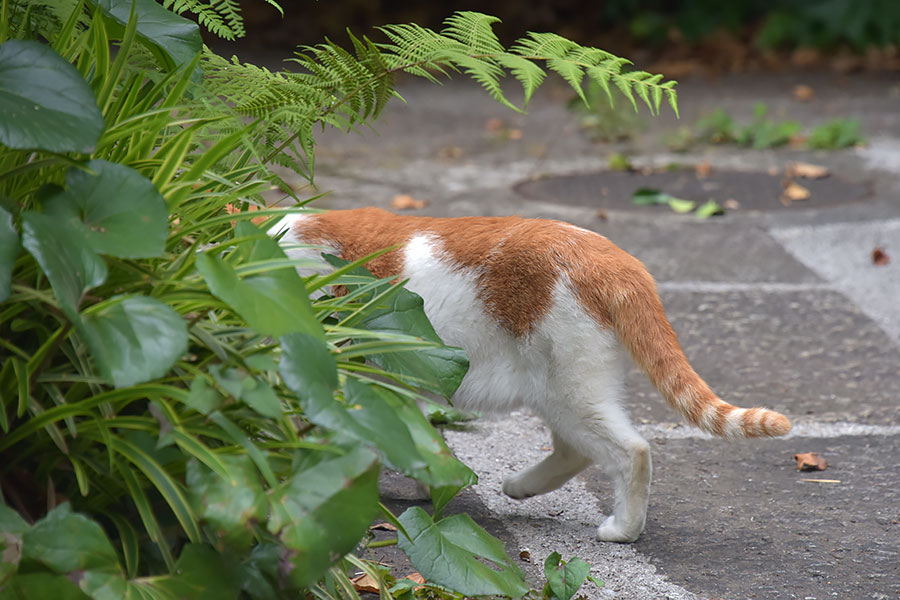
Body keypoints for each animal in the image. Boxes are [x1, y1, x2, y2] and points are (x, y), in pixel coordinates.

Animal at [270, 209, 792, 548]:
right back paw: (519, 487)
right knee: (574, 450)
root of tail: (614, 258)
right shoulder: (397, 383)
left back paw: (622, 530)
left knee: (631, 451)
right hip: (563, 389)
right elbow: (411, 438)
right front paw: (420, 479)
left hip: (567, 390)